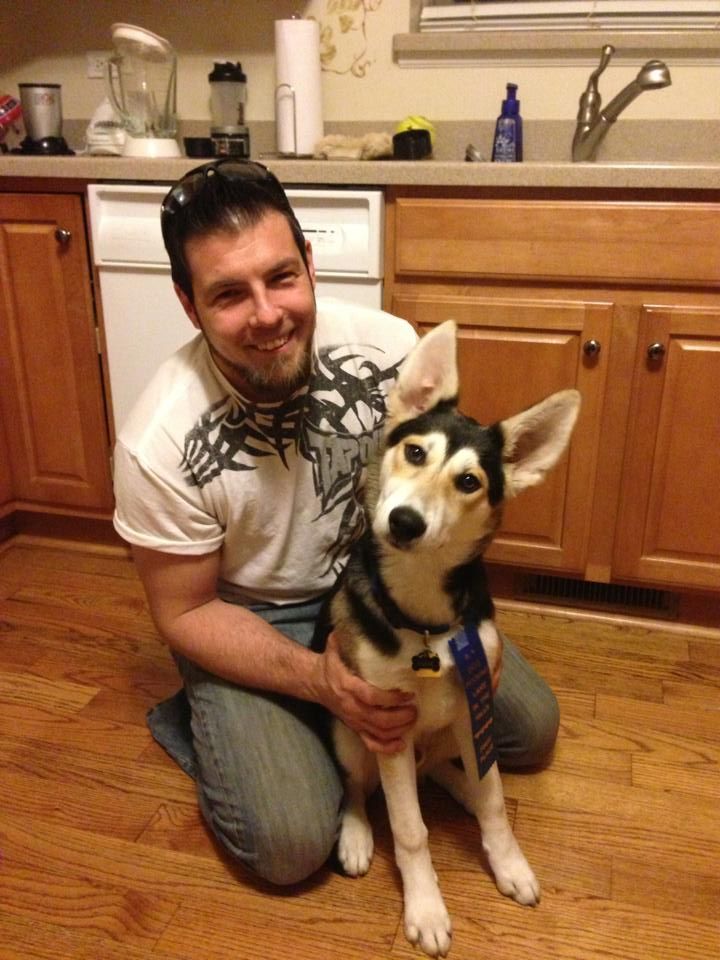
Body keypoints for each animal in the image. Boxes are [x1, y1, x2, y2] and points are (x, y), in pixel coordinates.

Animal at [328, 321, 580, 957]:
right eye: (415, 452)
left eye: (469, 481)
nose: (405, 522)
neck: (424, 621)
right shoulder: (385, 720)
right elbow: (411, 829)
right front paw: (426, 908)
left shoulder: (475, 699)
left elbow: (493, 801)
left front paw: (508, 863)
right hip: (350, 732)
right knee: (358, 788)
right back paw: (356, 834)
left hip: (449, 734)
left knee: (456, 775)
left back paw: (462, 790)